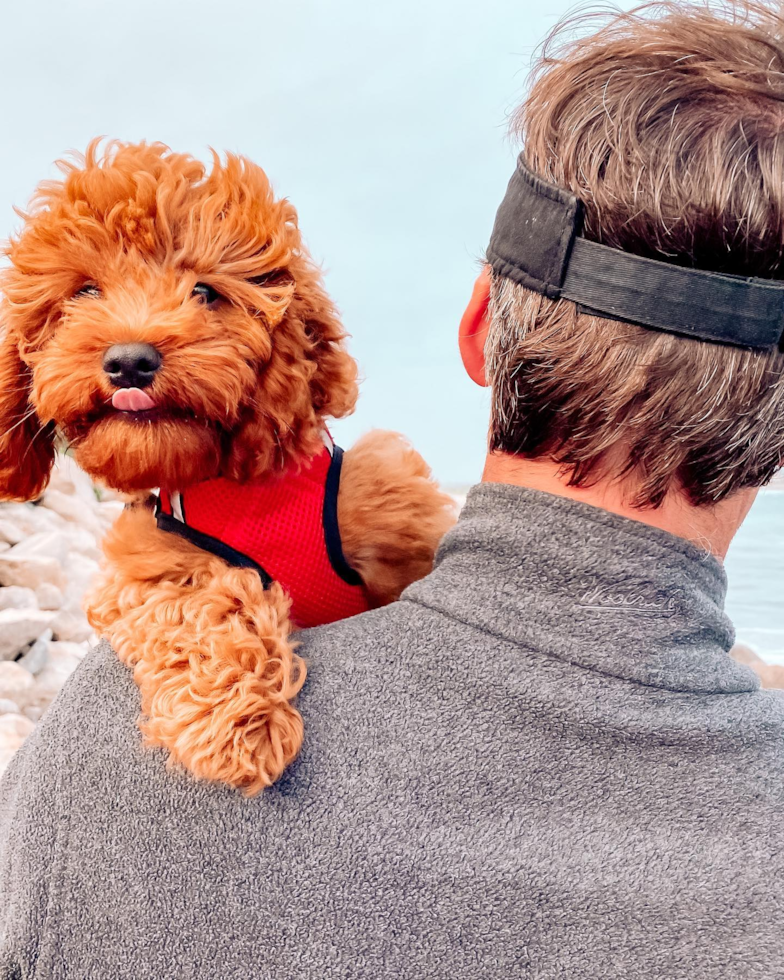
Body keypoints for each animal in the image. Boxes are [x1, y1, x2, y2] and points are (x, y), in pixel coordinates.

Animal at [0, 142, 456, 792]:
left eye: (205, 292)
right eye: (86, 291)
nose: (130, 362)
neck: (239, 480)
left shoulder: (392, 508)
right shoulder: (149, 555)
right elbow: (195, 599)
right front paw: (240, 725)